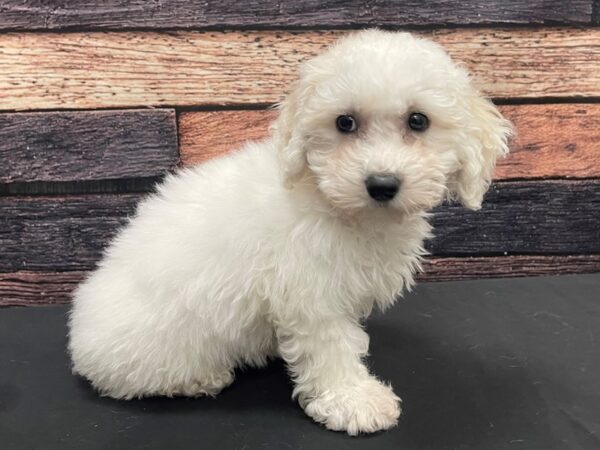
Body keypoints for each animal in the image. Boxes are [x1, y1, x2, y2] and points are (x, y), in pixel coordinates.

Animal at [69, 29, 510, 436]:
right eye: (344, 122)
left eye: (418, 121)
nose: (382, 184)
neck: (333, 202)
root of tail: (82, 335)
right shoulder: (312, 293)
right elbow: (332, 347)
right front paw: (353, 401)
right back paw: (198, 378)